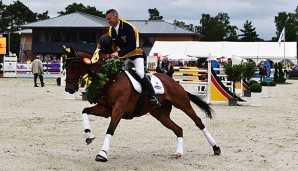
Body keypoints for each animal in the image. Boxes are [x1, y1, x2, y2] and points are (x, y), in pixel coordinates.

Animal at [63, 46, 221, 162]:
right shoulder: (106, 110)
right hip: (160, 115)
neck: (109, 78)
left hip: (183, 104)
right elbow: (84, 110)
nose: (68, 89)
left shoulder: (118, 110)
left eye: (73, 66)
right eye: (65, 67)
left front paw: (102, 154)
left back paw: (216, 148)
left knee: (198, 122)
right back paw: (178, 153)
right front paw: (89, 136)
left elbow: (110, 130)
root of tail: (173, 81)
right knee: (178, 129)